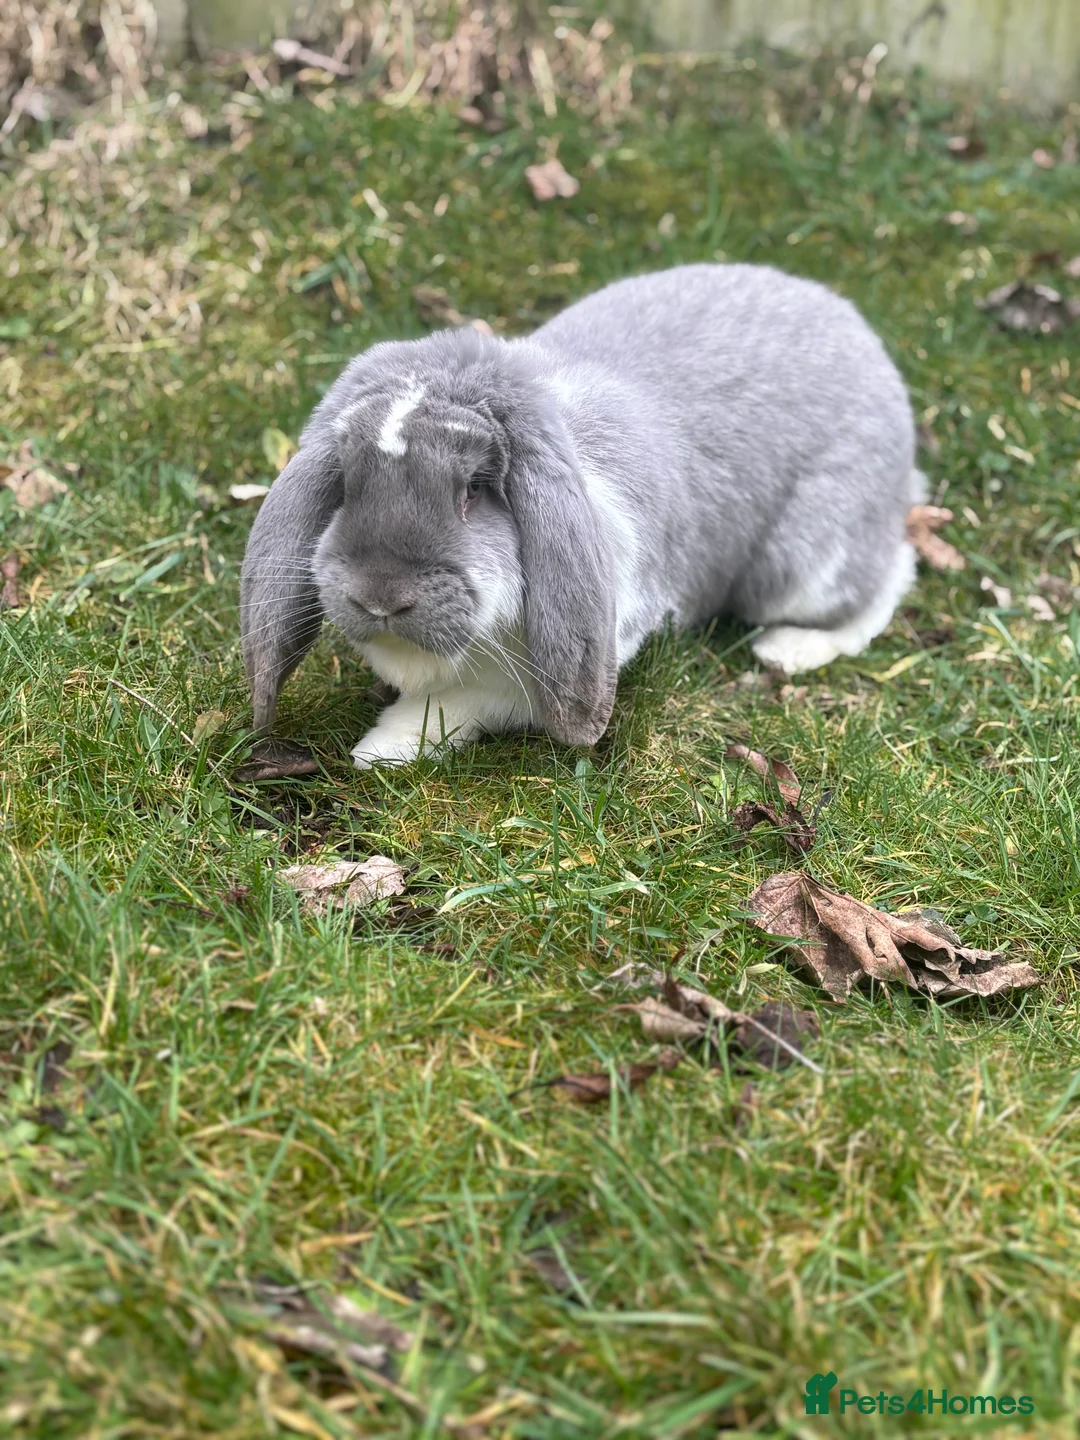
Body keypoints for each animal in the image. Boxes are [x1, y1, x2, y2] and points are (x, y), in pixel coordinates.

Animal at [241, 262, 921, 768]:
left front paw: (381, 747)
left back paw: (788, 650)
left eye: (475, 489)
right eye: (347, 482)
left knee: (889, 578)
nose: (379, 596)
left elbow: (462, 701)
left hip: (801, 564)